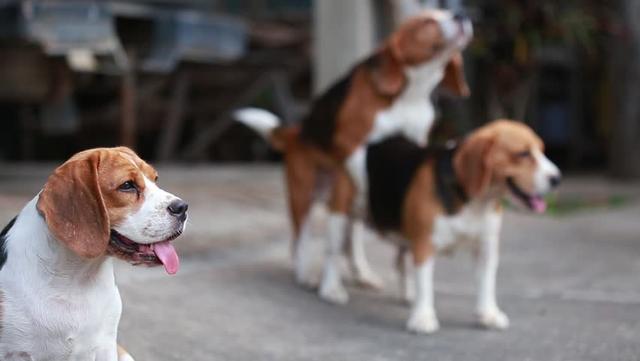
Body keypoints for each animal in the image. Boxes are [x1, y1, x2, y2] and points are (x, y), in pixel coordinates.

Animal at [234, 9, 470, 292]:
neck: (410, 94)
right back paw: (305, 273)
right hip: (303, 192)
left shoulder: (413, 141)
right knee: (301, 239)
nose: (461, 14)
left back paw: (362, 273)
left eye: (445, 13)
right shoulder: (352, 146)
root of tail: (297, 133)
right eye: (427, 21)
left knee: (350, 239)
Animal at [236, 119, 560, 334]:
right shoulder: (424, 244)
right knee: (331, 253)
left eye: (543, 150)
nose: (557, 178)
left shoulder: (486, 247)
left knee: (398, 261)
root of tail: (363, 143)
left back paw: (407, 294)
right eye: (522, 154)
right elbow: (426, 280)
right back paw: (331, 289)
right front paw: (423, 317)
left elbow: (486, 283)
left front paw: (488, 314)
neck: (473, 201)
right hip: (337, 212)